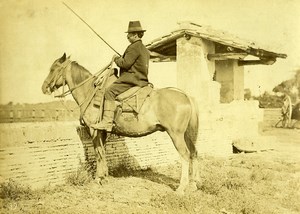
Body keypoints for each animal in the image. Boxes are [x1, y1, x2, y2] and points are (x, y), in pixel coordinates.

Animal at [39, 52, 199, 193]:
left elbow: (98, 152)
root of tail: (185, 95)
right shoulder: (103, 132)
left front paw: (98, 179)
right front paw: (104, 176)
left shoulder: (94, 130)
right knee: (193, 153)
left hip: (176, 134)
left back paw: (181, 187)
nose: (44, 87)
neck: (91, 92)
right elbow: (103, 152)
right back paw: (193, 185)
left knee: (185, 154)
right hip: (186, 135)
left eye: (53, 69)